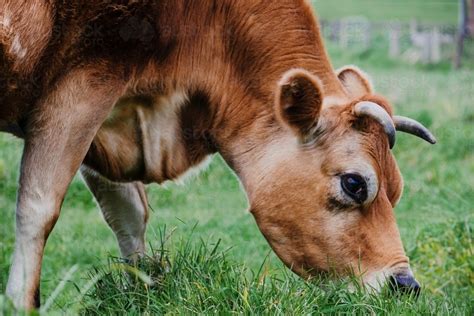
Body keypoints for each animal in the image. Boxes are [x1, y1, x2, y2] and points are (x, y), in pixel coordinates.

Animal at [0, 0, 436, 310]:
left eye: (397, 191)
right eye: (355, 183)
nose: (405, 285)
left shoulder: (107, 119)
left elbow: (129, 215)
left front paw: (143, 292)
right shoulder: (82, 86)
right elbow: (38, 210)